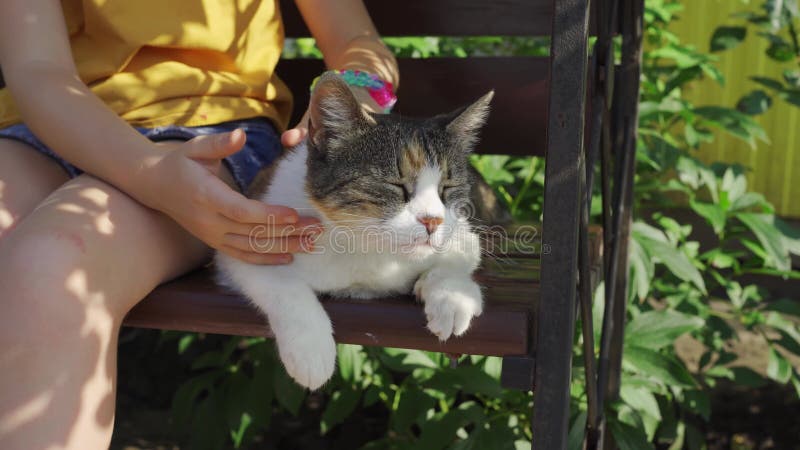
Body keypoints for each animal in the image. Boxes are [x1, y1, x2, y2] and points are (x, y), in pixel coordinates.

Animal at [219, 74, 494, 390]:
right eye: (396, 185)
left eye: (447, 188)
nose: (432, 220)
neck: (364, 245)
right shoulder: (246, 237)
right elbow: (281, 283)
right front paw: (310, 348)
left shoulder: (462, 232)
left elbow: (457, 257)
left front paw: (453, 297)